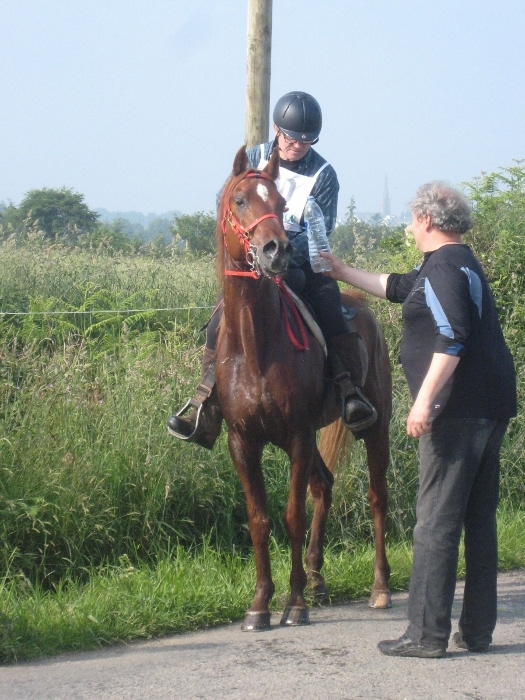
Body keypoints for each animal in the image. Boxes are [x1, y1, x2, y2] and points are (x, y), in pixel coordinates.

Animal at [215, 145, 392, 630]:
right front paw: (260, 603)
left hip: (375, 427)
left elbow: (292, 515)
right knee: (324, 487)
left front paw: (293, 604)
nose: (277, 250)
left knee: (377, 498)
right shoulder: (243, 441)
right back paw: (316, 580)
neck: (256, 345)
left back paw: (379, 587)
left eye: (280, 204)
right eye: (240, 200)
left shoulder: (296, 435)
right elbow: (259, 519)